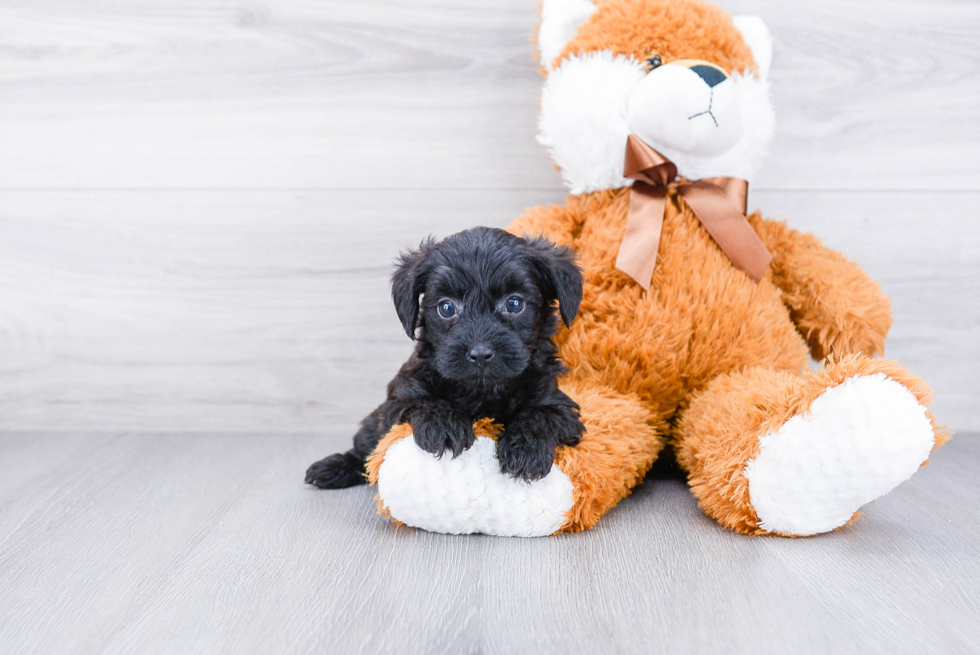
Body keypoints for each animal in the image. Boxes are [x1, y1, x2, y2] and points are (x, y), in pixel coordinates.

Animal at [304, 226, 580, 486]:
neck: (483, 390)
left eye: (514, 304)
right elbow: (424, 401)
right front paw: (445, 426)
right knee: (364, 449)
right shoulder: (400, 395)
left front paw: (526, 450)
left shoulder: (558, 403)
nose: (480, 354)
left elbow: (541, 414)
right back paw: (333, 468)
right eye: (446, 308)